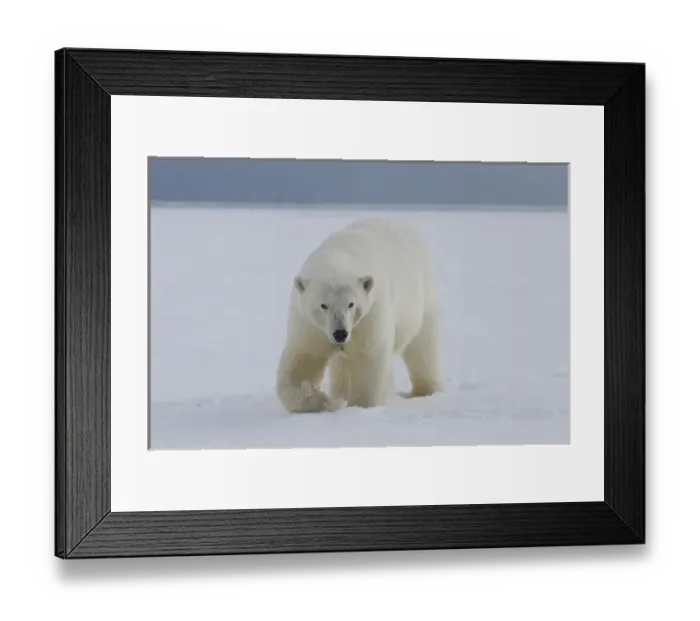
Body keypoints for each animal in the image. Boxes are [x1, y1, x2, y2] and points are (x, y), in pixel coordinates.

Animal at [275, 217, 443, 413]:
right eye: (323, 305)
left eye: (351, 304)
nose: (340, 333)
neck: (337, 256)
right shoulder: (310, 325)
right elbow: (304, 360)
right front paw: (325, 401)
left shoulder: (369, 316)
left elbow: (368, 358)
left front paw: (361, 406)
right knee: (341, 365)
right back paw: (340, 394)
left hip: (420, 300)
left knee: (423, 347)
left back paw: (425, 391)